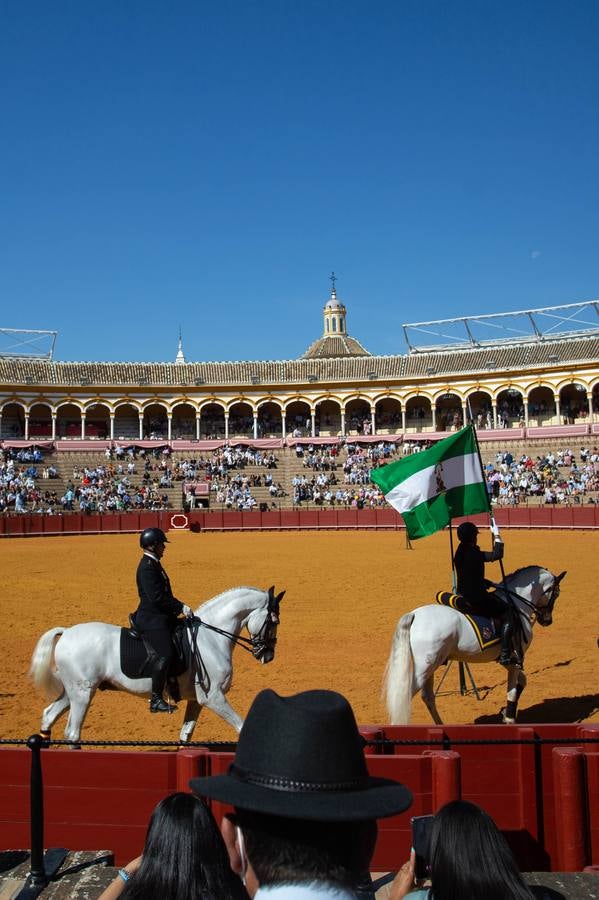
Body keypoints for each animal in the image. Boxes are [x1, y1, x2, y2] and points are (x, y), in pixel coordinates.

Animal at [31, 588, 286, 740]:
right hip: (83, 693)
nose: (268, 655)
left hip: (74, 691)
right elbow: (241, 726)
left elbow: (185, 736)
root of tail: (66, 632)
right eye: (274, 621)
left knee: (49, 715)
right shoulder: (213, 697)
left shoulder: (198, 701)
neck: (211, 637)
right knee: (73, 733)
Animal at [384, 568, 568, 728]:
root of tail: (415, 615)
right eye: (556, 593)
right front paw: (509, 718)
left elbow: (521, 683)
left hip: (430, 667)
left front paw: (505, 712)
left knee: (427, 697)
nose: (547, 620)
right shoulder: (515, 659)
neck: (516, 604)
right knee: (405, 697)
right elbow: (512, 690)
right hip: (425, 668)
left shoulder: (508, 661)